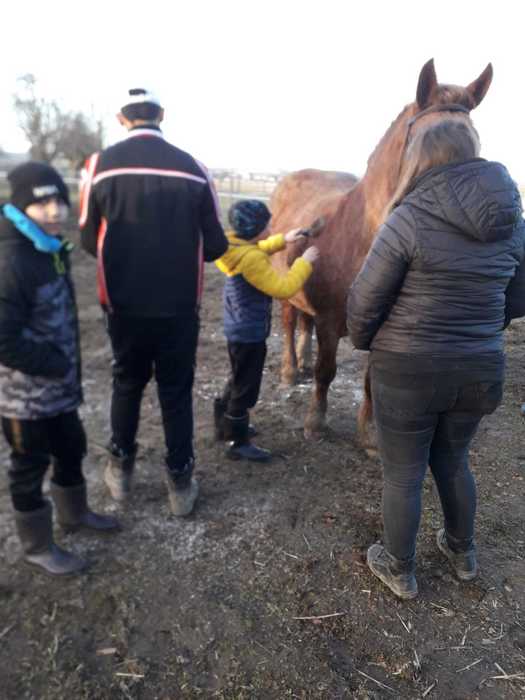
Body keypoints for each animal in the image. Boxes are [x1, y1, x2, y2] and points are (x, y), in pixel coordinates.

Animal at [268, 58, 493, 438]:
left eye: (475, 142)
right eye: (424, 141)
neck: (363, 240)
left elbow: (373, 381)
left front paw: (371, 435)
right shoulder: (330, 320)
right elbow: (326, 370)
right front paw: (316, 422)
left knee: (303, 324)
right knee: (288, 323)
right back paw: (290, 371)